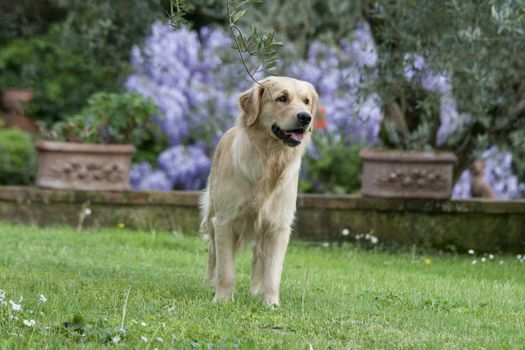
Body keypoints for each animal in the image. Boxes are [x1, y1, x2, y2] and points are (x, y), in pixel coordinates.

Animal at [199, 76, 318, 304]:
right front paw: (223, 299)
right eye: (282, 98)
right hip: (211, 214)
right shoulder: (225, 221)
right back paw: (209, 281)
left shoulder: (278, 225)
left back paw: (256, 290)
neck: (270, 160)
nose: (306, 118)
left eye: (306, 101)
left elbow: (272, 270)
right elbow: (225, 269)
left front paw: (270, 303)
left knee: (258, 258)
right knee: (212, 252)